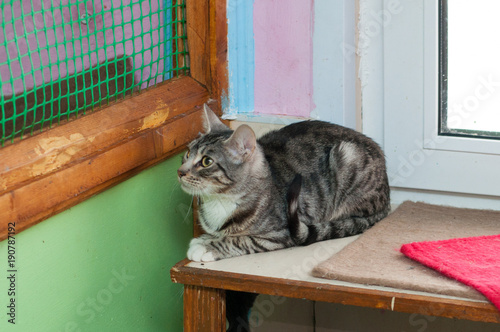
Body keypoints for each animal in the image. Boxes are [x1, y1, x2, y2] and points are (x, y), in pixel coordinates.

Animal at [177, 104, 390, 262]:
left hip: (347, 157)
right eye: (187, 153)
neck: (219, 200)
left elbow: (240, 240)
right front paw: (205, 238)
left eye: (206, 161)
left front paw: (208, 246)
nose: (180, 172)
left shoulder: (278, 235)